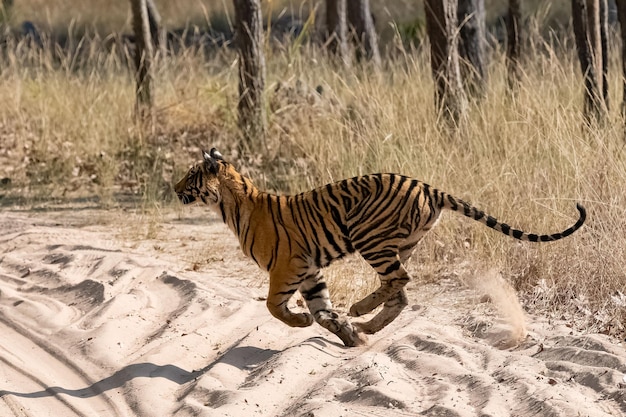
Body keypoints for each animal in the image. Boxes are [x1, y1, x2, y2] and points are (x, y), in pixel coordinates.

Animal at [173, 148, 584, 346]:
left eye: (191, 175)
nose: (174, 189)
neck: (231, 204)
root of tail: (428, 186)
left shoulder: (287, 267)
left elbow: (275, 307)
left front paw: (306, 321)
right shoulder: (309, 271)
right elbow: (322, 309)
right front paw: (348, 334)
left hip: (370, 237)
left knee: (401, 281)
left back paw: (360, 309)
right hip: (401, 243)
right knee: (400, 292)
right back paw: (367, 324)